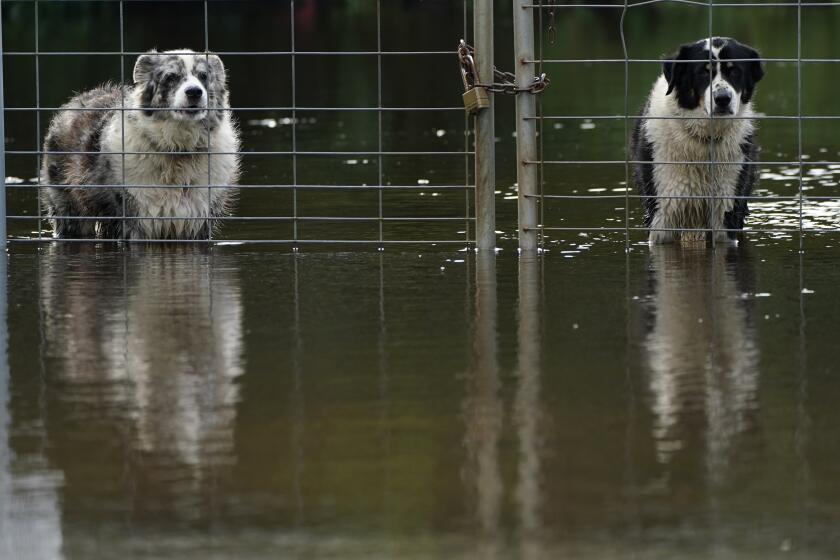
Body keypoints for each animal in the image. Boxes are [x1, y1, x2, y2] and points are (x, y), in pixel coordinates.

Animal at [41, 48, 241, 238]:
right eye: (171, 77)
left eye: (203, 76)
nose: (194, 92)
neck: (178, 152)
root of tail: (79, 98)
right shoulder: (135, 220)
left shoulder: (198, 221)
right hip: (69, 208)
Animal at [632, 37, 764, 243]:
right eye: (703, 72)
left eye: (735, 71)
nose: (723, 99)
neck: (705, 140)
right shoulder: (664, 211)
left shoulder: (726, 207)